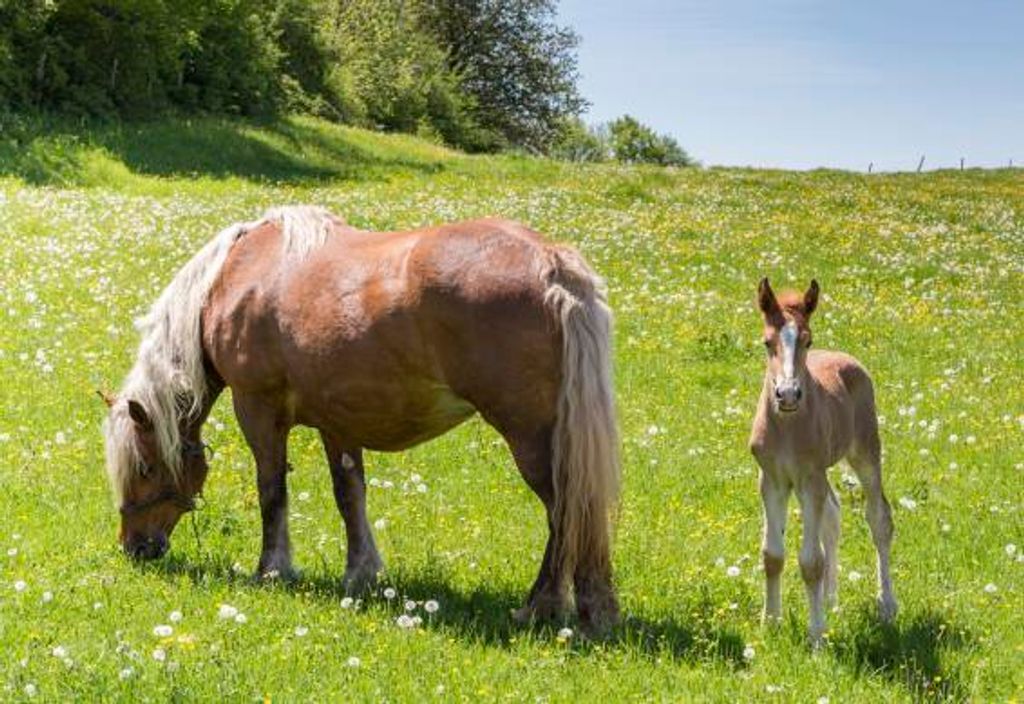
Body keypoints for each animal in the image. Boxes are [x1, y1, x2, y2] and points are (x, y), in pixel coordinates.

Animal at [101, 205, 621, 632]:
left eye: (145, 468)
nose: (135, 547)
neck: (235, 276)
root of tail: (551, 263)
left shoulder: (257, 408)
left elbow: (272, 492)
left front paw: (272, 569)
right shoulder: (338, 421)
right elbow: (349, 495)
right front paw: (361, 574)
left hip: (532, 437)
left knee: (566, 511)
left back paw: (547, 607)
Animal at [749, 278, 897, 645]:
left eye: (807, 340)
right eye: (767, 342)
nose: (787, 394)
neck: (787, 427)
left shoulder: (808, 479)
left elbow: (810, 562)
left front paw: (816, 637)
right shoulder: (771, 479)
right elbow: (772, 555)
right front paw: (770, 624)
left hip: (865, 453)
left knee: (879, 519)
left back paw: (886, 604)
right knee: (833, 513)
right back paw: (830, 600)